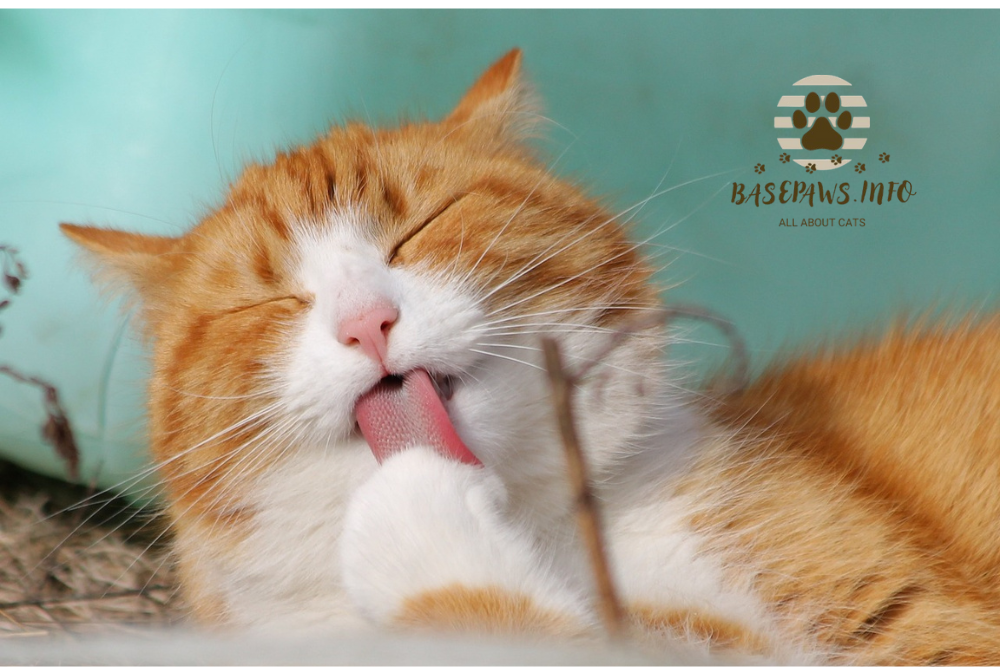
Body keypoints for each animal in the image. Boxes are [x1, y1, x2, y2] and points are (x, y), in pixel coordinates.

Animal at [58, 49, 1000, 664]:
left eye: (422, 226)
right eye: (266, 301)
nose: (367, 320)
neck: (533, 527)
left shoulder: (918, 627)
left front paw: (419, 519)